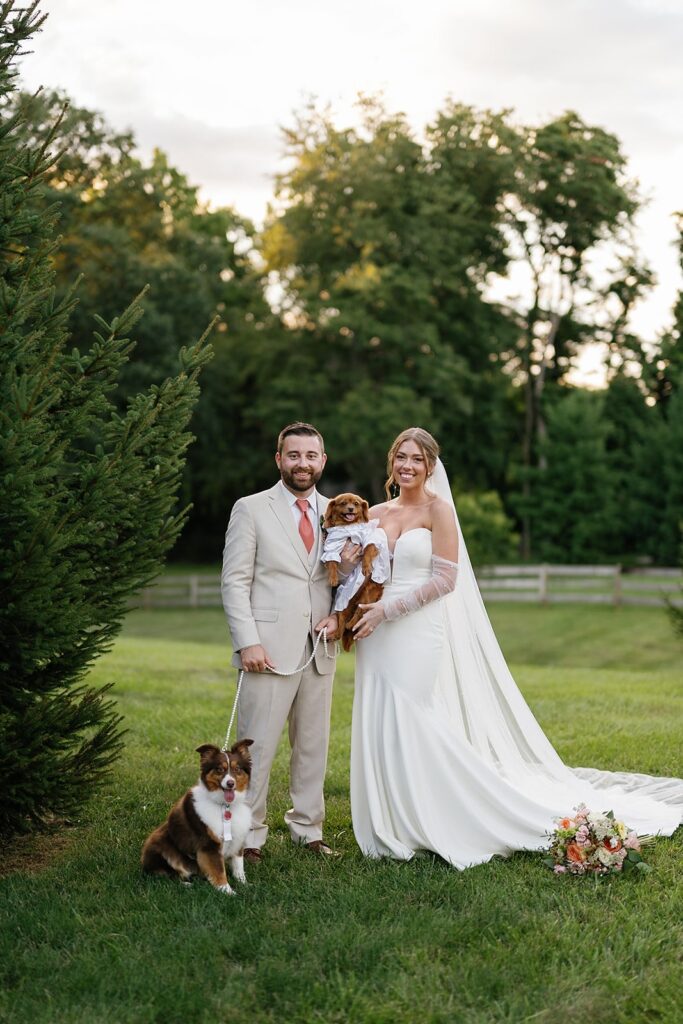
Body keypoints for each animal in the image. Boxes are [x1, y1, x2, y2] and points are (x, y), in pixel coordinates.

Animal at [321, 491, 385, 651]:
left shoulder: (370, 540)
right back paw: (334, 634)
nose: (350, 509)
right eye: (343, 503)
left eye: (356, 504)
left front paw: (366, 567)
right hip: (342, 605)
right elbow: (332, 562)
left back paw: (351, 623)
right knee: (342, 624)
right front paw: (333, 578)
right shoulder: (333, 546)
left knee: (360, 611)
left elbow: (367, 550)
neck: (348, 527)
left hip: (367, 594)